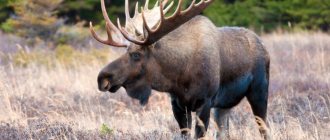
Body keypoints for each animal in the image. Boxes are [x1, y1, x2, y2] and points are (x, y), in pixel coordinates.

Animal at [91, 0, 270, 139]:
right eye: (126, 51)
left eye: (136, 54)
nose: (102, 78)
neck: (180, 77)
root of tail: (263, 45)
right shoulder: (178, 104)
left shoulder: (205, 102)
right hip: (224, 106)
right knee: (224, 133)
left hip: (259, 92)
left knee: (264, 128)